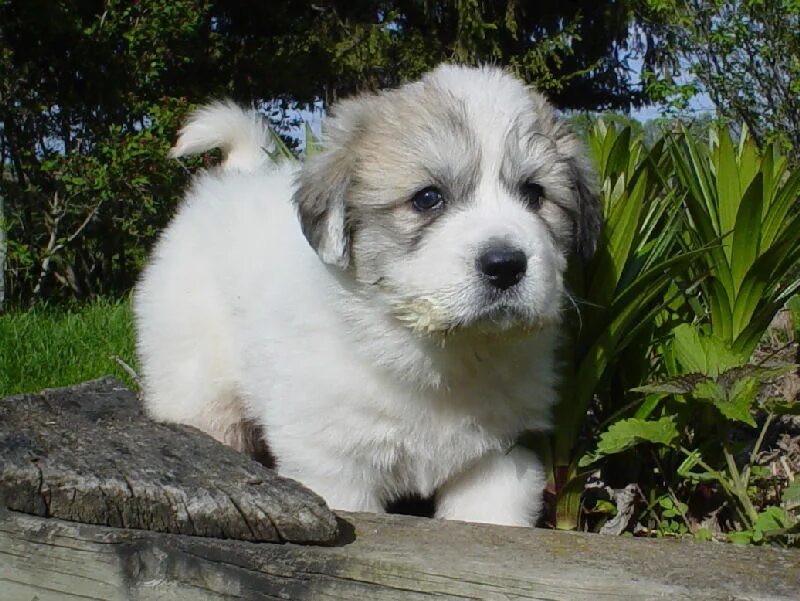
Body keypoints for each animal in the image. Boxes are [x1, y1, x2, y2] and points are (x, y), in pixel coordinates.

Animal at [136, 65, 600, 524]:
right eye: (428, 198)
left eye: (534, 194)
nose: (505, 264)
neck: (437, 353)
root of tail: (238, 175)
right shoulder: (336, 468)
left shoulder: (496, 461)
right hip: (199, 385)